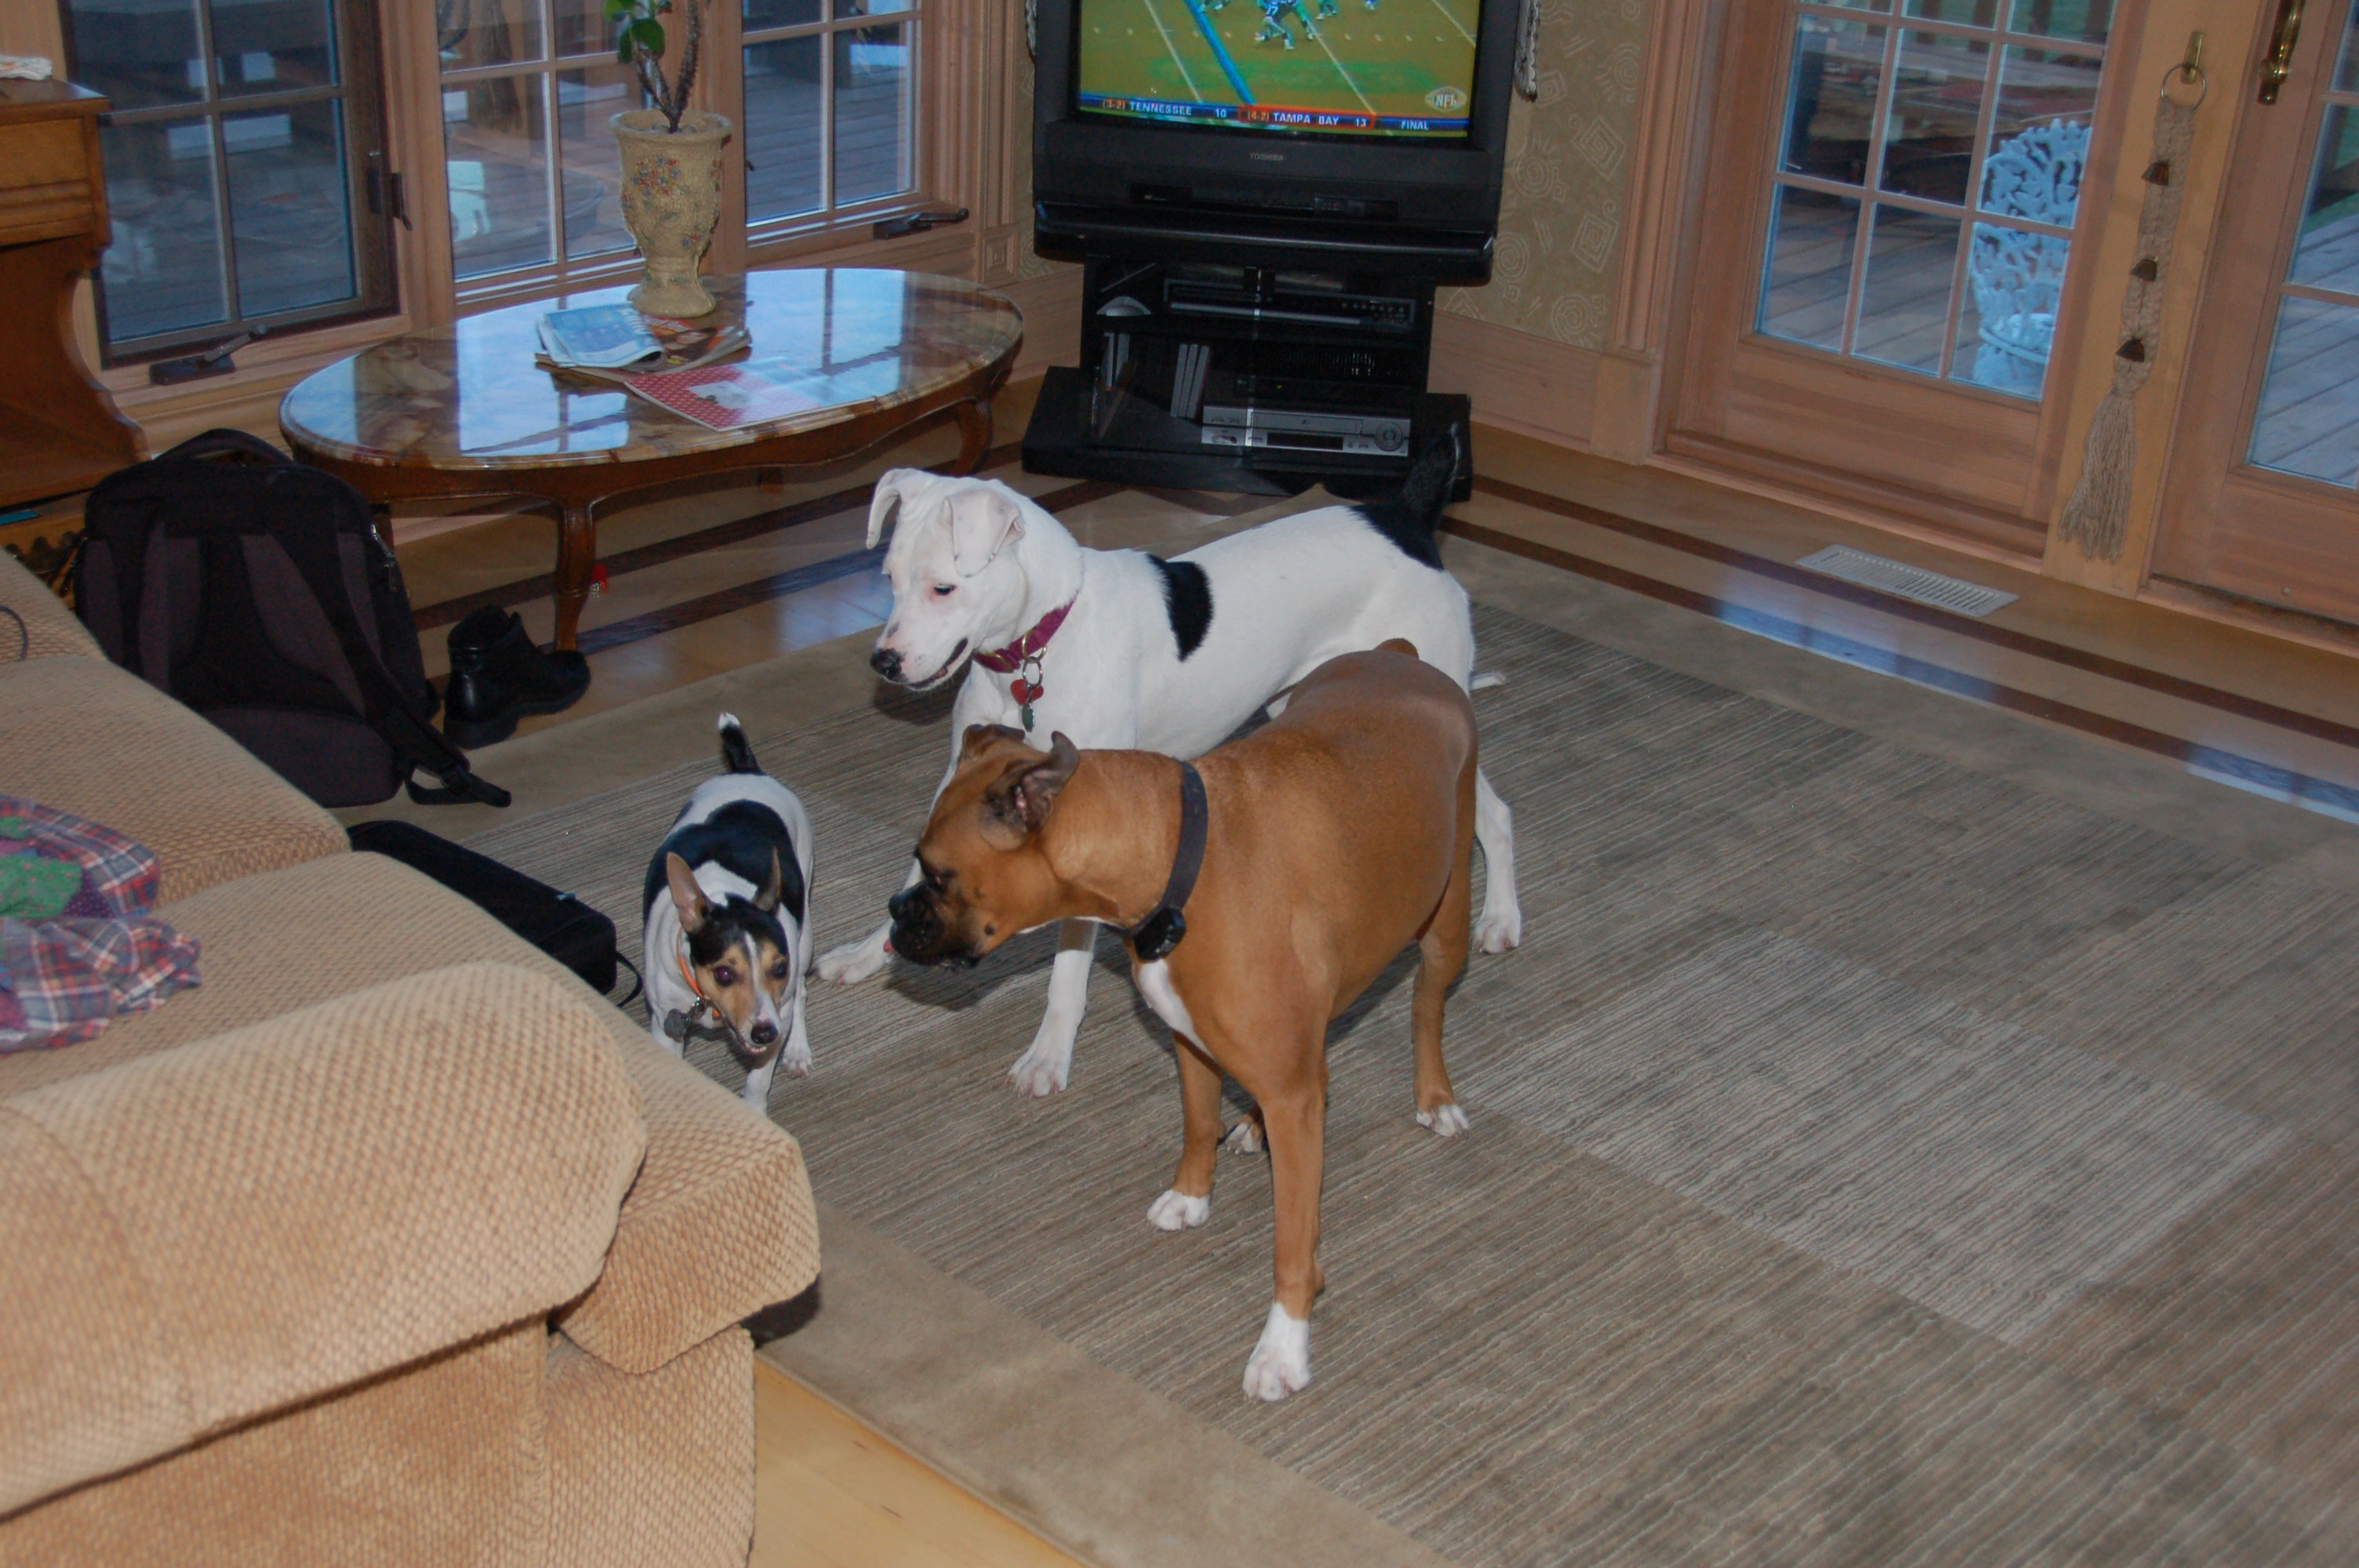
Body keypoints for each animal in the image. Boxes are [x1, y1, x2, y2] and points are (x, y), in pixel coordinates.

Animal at [643, 714, 814, 1108]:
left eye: (778, 969)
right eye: (723, 974)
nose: (766, 1033)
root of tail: (748, 770)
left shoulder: (778, 1010)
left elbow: (757, 1080)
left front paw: (752, 1109)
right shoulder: (665, 1025)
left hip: (805, 934)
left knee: (800, 992)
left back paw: (798, 1049)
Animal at [818, 435, 1519, 1098]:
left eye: (944, 587)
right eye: (889, 578)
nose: (884, 662)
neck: (1044, 640)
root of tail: (1402, 513)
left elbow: (1068, 967)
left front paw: (1049, 1054)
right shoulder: (964, 782)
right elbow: (916, 869)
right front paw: (871, 951)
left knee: (1495, 813)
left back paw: (1500, 918)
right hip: (1297, 698)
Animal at [887, 642, 1477, 1401]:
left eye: (937, 876)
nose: (896, 914)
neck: (1178, 862)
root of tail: (1399, 657)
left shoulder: (1290, 1095)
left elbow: (1293, 1238)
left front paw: (1283, 1348)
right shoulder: (1192, 1044)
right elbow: (1199, 1126)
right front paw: (1192, 1197)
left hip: (1446, 924)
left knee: (1426, 1008)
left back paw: (1435, 1098)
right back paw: (1254, 1126)